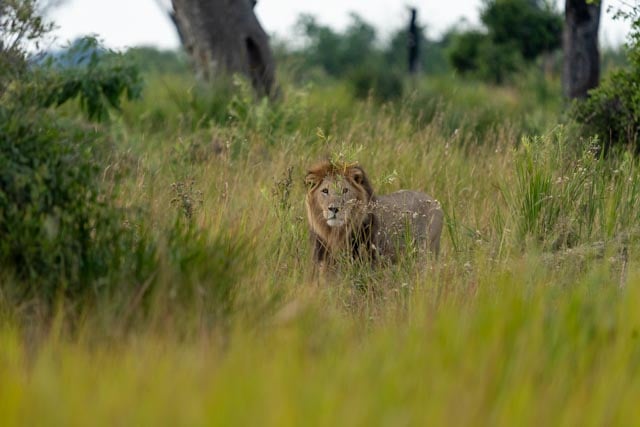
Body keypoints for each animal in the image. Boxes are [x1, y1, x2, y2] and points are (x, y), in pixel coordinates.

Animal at [305, 160, 443, 270]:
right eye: (325, 191)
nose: (334, 208)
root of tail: (435, 201)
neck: (336, 233)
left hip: (426, 252)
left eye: (345, 190)